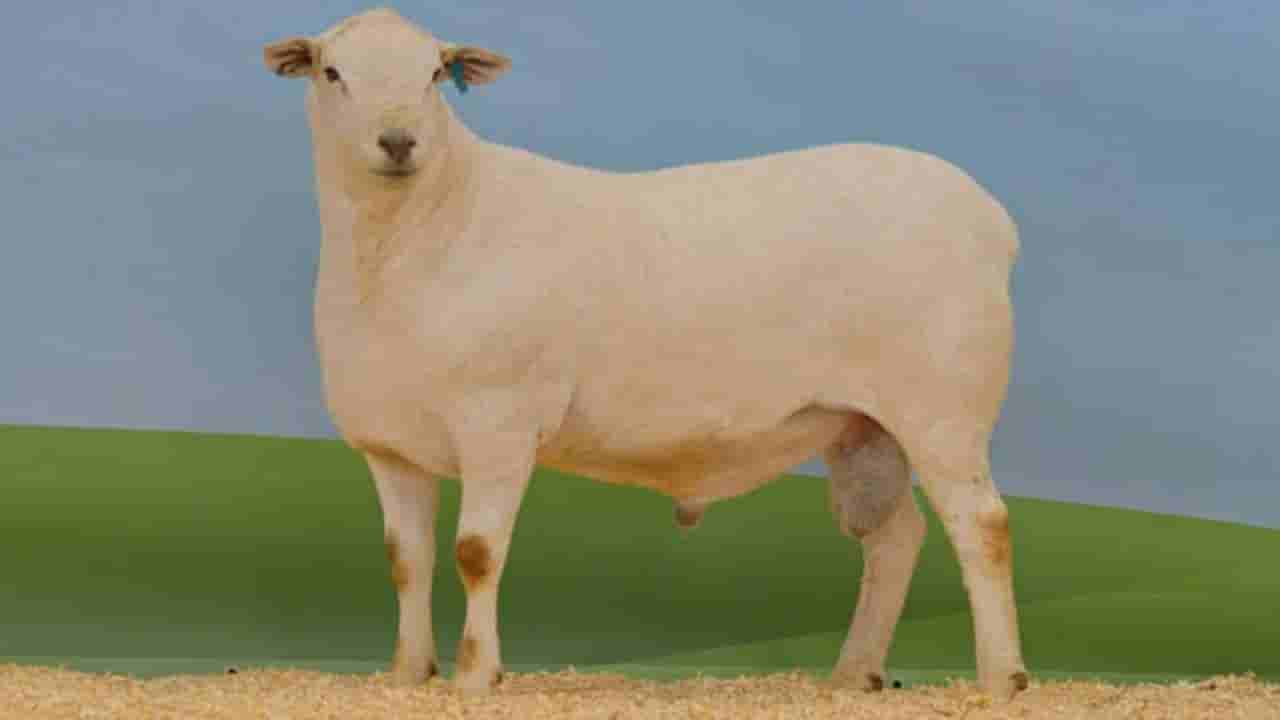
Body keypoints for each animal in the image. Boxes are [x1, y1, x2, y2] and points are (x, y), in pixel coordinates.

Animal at [263, 7, 1028, 700]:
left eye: (434, 74)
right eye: (333, 73)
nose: (399, 141)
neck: (417, 236)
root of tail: (990, 217)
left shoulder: (498, 423)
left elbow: (476, 554)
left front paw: (477, 677)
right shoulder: (391, 445)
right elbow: (406, 561)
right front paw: (407, 674)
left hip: (944, 407)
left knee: (983, 526)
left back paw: (1002, 679)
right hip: (861, 427)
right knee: (895, 537)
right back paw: (853, 674)